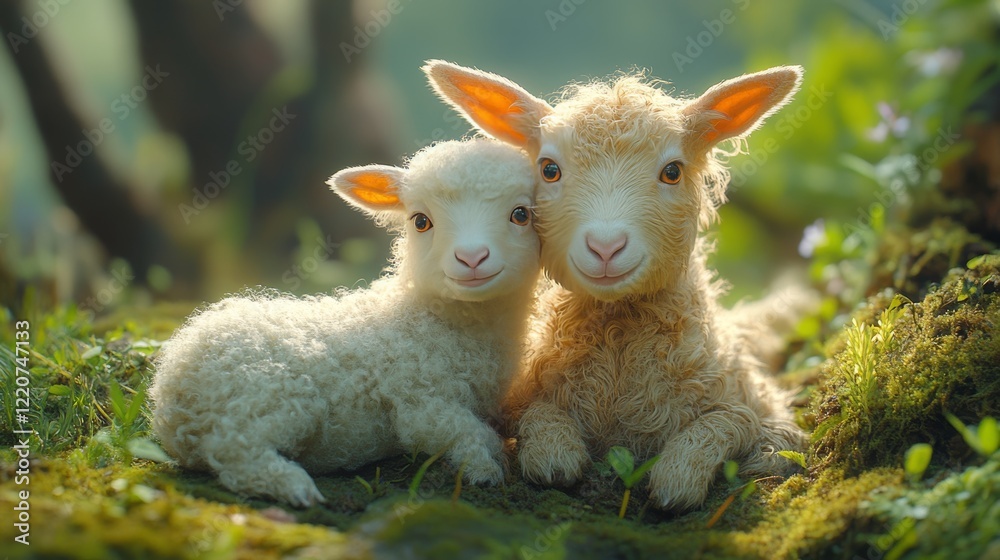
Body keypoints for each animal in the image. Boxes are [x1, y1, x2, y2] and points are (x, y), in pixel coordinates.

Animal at [150, 138, 540, 507]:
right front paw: (485, 470)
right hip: (268, 397)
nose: (471, 258)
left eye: (521, 214)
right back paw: (294, 486)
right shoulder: (419, 396)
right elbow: (461, 431)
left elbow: (485, 431)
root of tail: (172, 385)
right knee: (234, 449)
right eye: (420, 221)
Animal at [424, 60, 808, 510]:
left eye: (672, 171)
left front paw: (680, 477)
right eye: (549, 169)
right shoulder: (523, 393)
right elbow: (536, 416)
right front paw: (554, 454)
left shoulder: (759, 403)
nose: (605, 247)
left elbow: (730, 424)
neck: (618, 331)